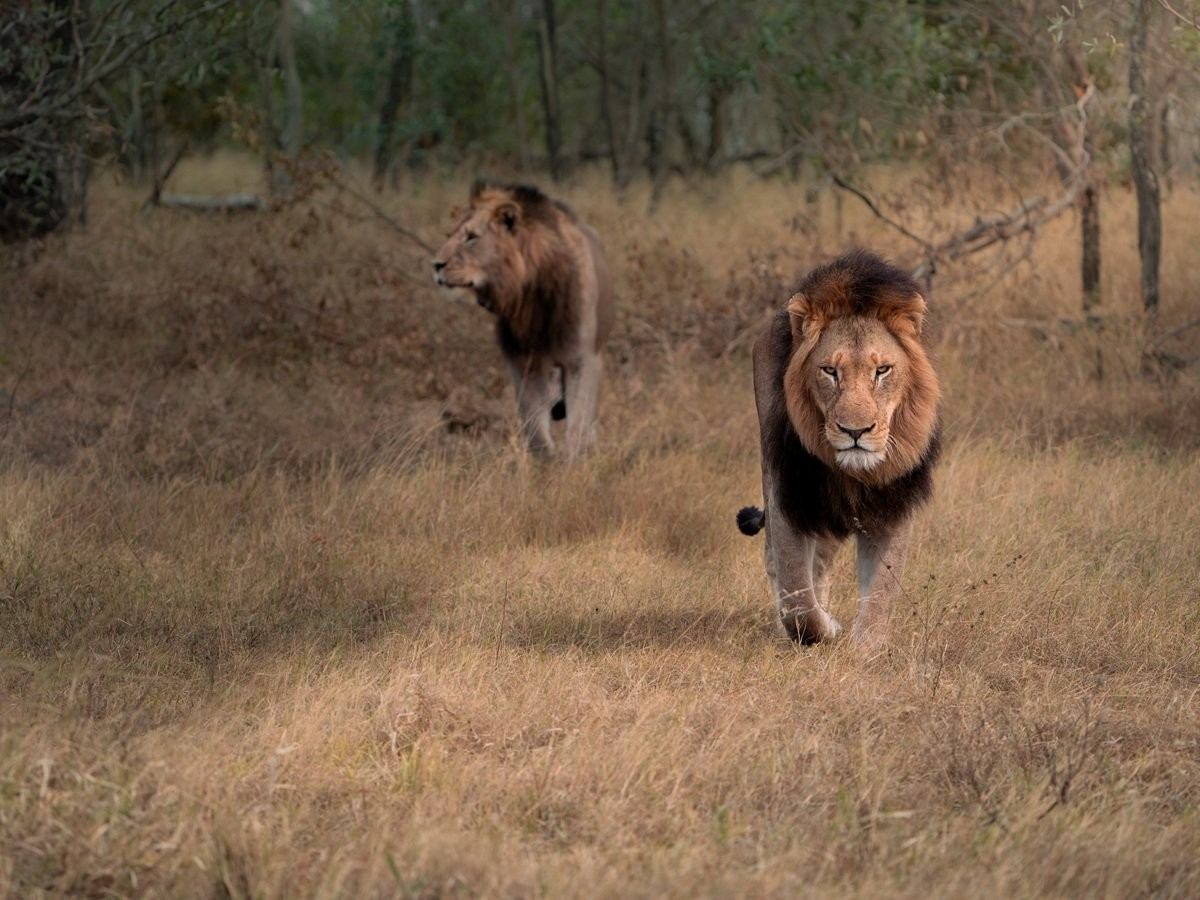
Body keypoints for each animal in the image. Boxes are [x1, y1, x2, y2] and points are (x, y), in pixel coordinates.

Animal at [432, 181, 614, 460]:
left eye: (471, 237)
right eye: (448, 235)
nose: (436, 265)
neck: (531, 292)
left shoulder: (583, 360)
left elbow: (578, 424)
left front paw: (574, 463)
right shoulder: (524, 363)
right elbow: (535, 429)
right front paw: (547, 464)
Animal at [736, 250, 941, 647]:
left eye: (882, 370)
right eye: (829, 371)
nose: (855, 431)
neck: (853, 471)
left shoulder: (893, 504)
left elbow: (882, 588)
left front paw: (866, 648)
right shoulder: (790, 495)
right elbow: (797, 597)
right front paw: (823, 630)